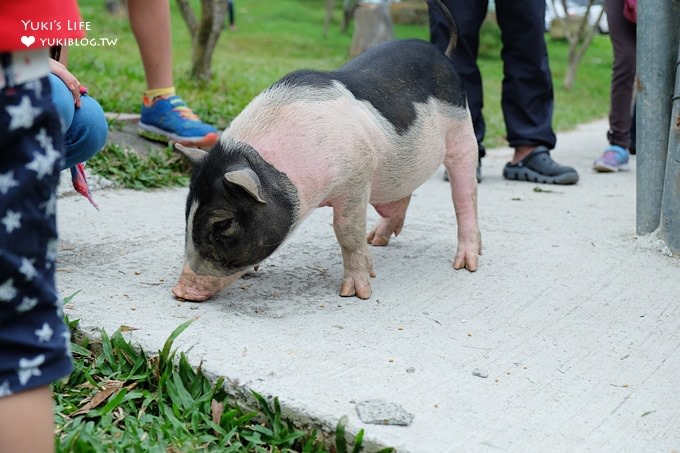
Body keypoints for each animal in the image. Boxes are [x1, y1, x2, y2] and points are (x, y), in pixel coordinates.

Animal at [174, 0, 484, 304]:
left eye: (223, 224)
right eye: (187, 213)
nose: (181, 291)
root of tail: (443, 54)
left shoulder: (357, 176)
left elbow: (346, 232)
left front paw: (356, 293)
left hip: (462, 131)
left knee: (465, 195)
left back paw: (467, 264)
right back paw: (376, 240)